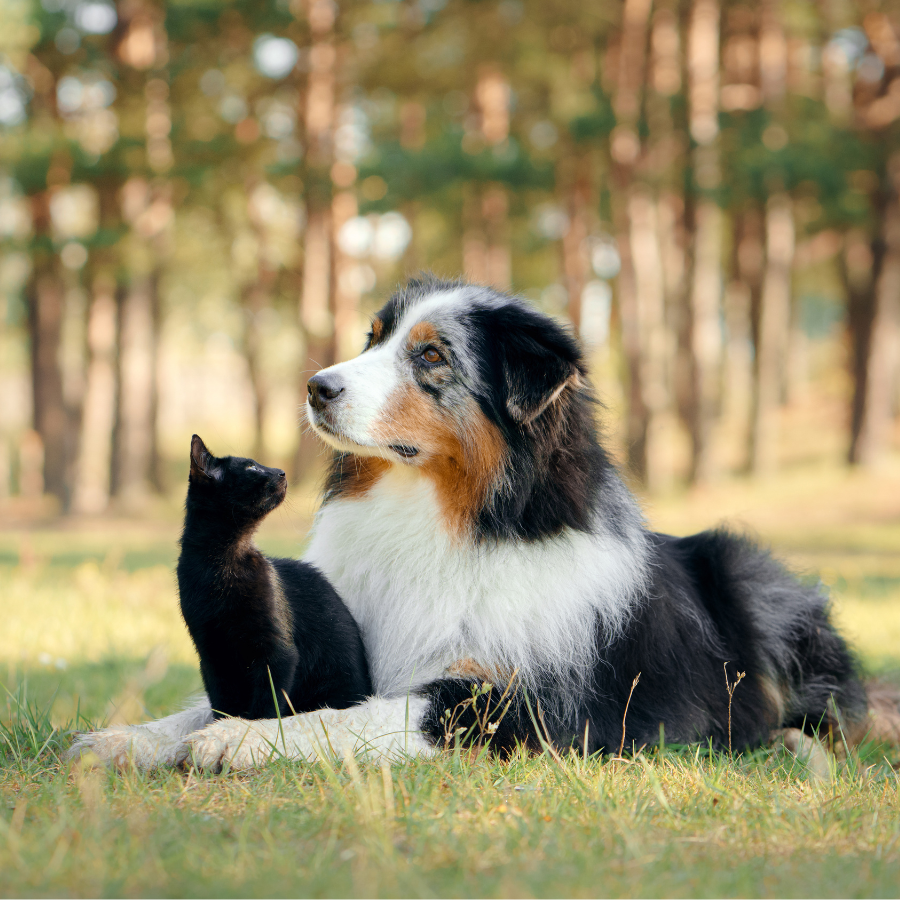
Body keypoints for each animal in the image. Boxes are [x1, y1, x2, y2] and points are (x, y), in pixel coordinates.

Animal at [176, 432, 372, 720]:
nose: (281, 471)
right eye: (251, 467)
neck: (222, 563)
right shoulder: (212, 654)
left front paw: (251, 728)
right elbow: (222, 703)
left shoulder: (277, 652)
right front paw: (224, 724)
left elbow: (267, 705)